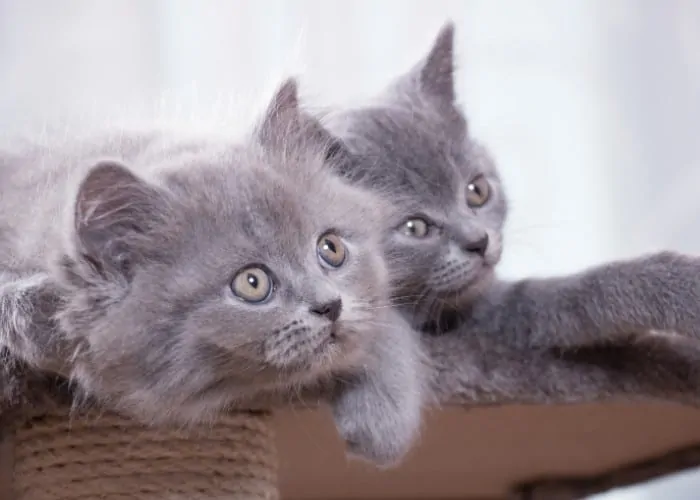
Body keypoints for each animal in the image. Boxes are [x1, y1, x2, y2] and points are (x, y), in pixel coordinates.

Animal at [0, 80, 426, 466]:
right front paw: (46, 325)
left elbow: (386, 326)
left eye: (331, 249)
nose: (330, 306)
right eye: (252, 283)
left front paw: (382, 424)